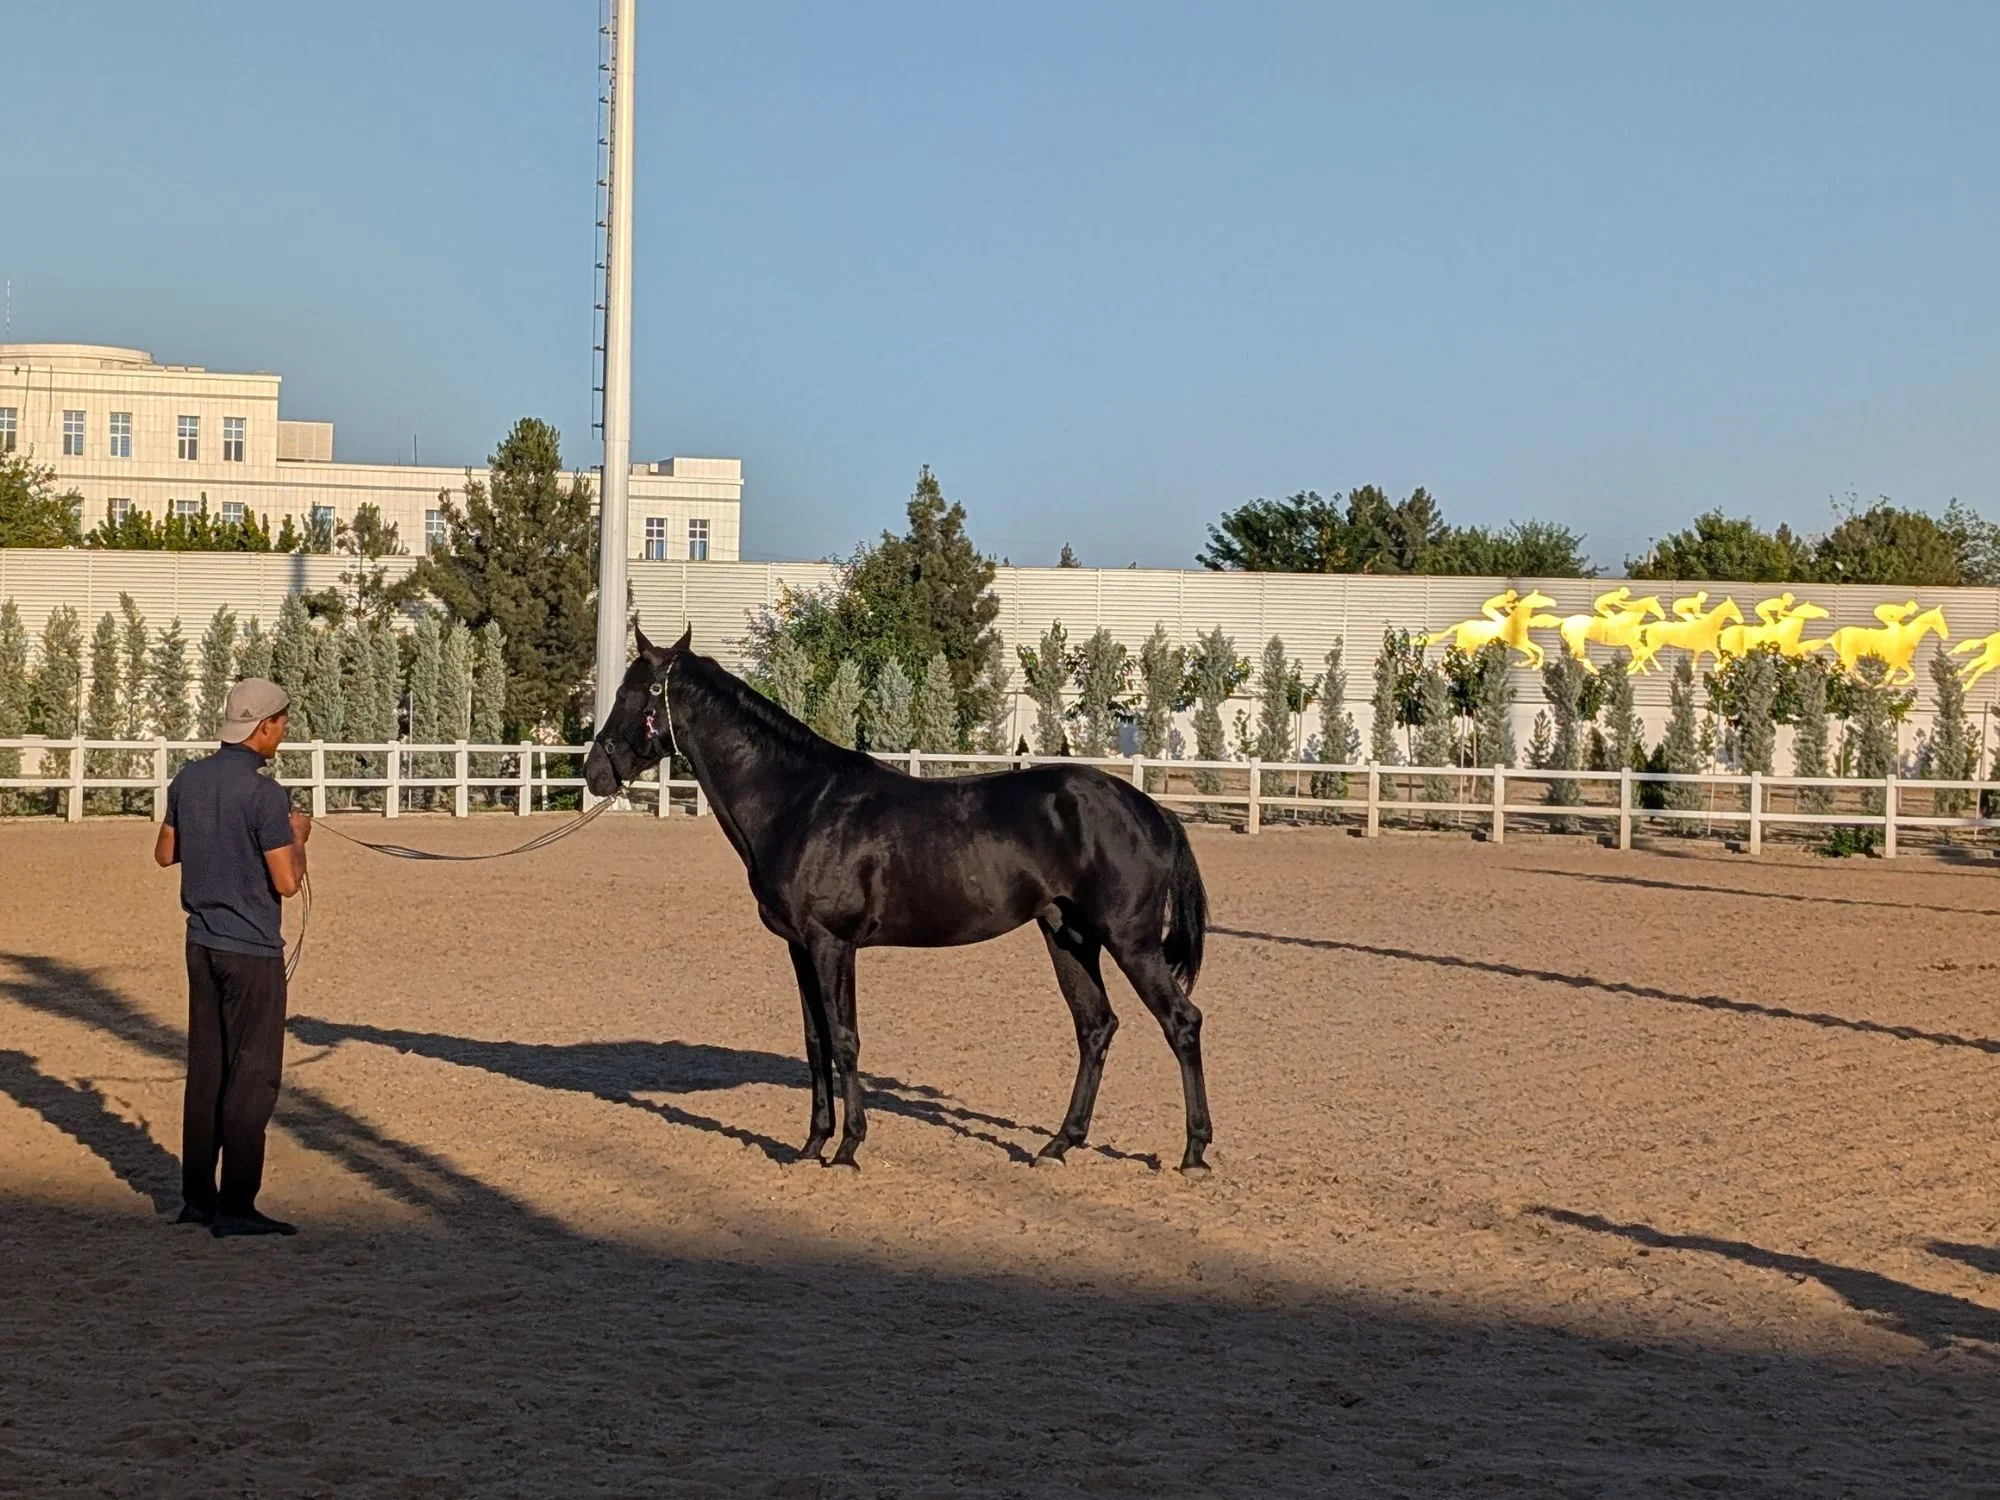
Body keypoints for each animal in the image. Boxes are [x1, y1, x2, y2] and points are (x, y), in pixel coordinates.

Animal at [582, 626, 1215, 1174]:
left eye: (633, 693)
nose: (594, 772)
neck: (800, 801)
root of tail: (1153, 812)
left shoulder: (832, 944)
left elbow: (844, 1039)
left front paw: (847, 1149)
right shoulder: (799, 947)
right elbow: (815, 1041)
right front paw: (811, 1145)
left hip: (1130, 942)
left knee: (1181, 1021)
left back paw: (1194, 1152)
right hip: (1068, 937)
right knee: (1095, 1026)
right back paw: (1059, 1144)